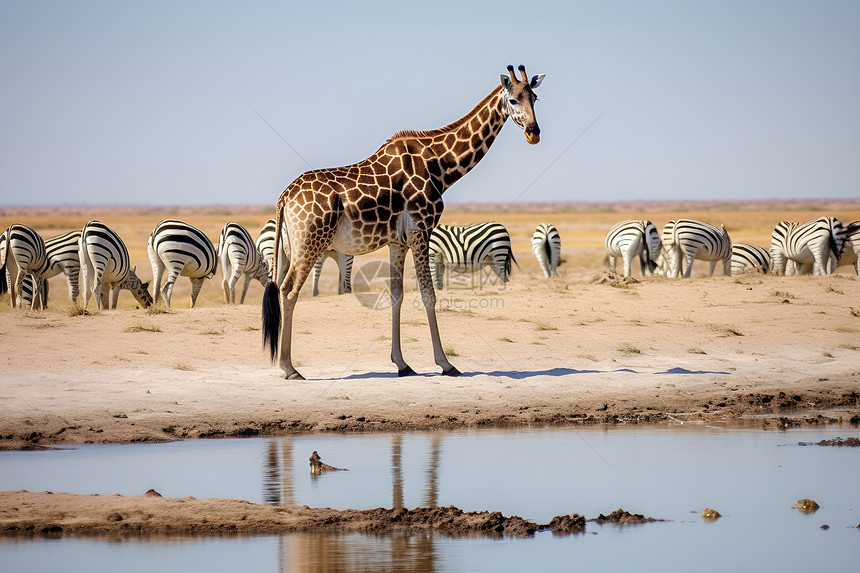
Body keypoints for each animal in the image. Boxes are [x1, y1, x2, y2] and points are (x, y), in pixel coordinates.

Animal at [262, 63, 544, 380]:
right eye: (513, 100)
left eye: (535, 98)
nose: (534, 132)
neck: (440, 166)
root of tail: (284, 198)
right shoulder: (422, 229)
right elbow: (428, 294)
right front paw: (446, 364)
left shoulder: (397, 241)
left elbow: (396, 294)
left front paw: (401, 363)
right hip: (309, 243)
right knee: (288, 291)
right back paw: (289, 368)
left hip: (288, 248)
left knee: (278, 287)